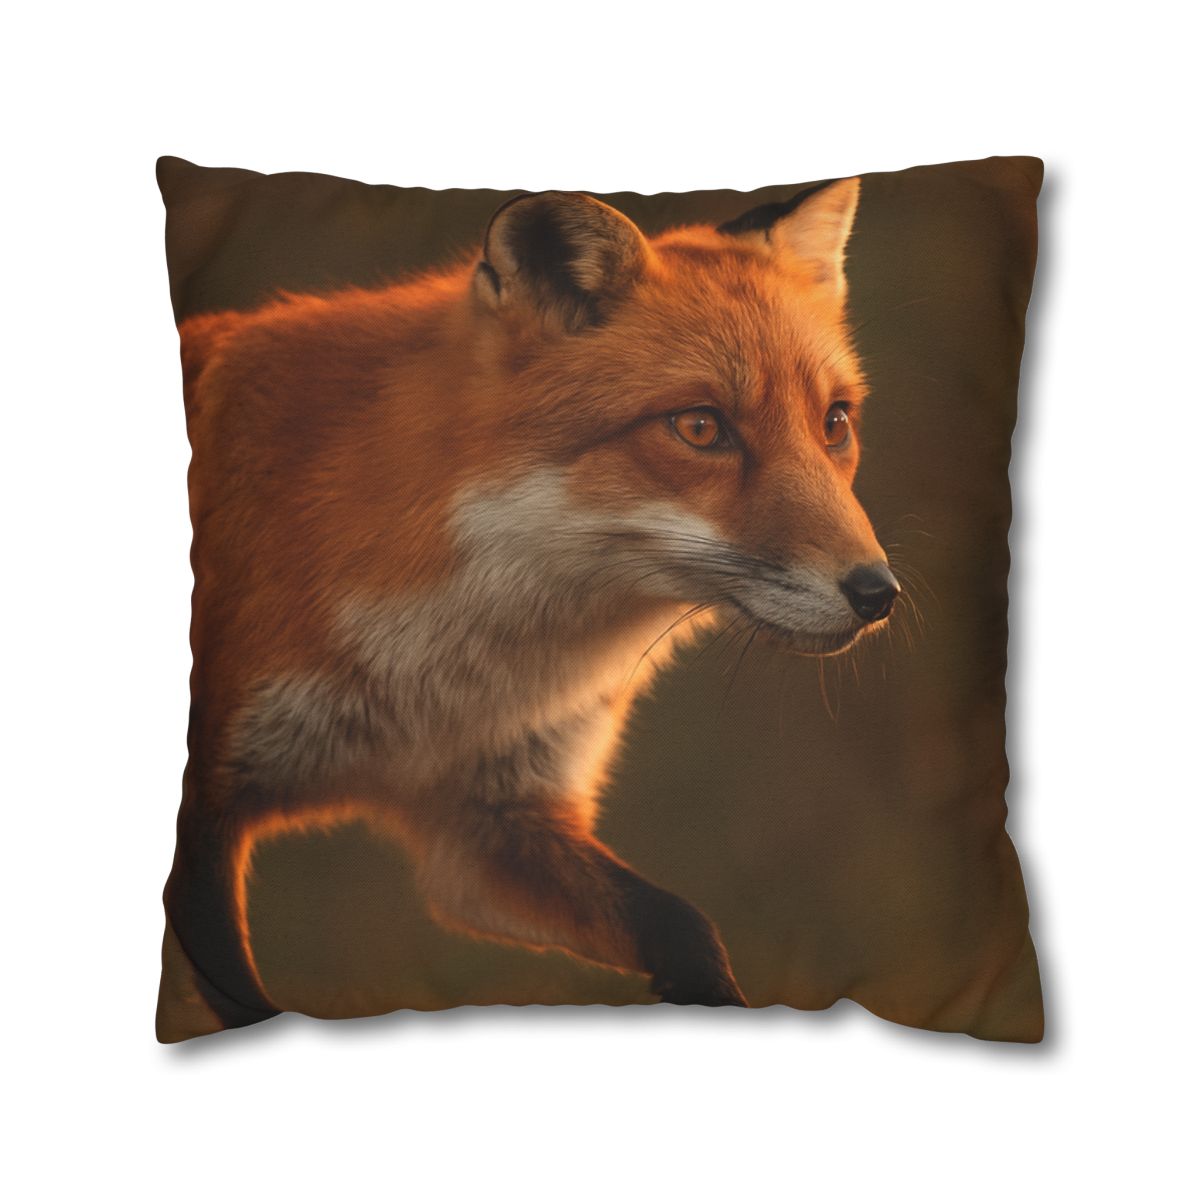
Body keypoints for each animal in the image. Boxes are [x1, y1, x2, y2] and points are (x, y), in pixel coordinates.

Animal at [159, 176, 901, 1039]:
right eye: (700, 427)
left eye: (834, 423)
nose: (878, 594)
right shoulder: (207, 813)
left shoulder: (489, 826)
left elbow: (683, 926)